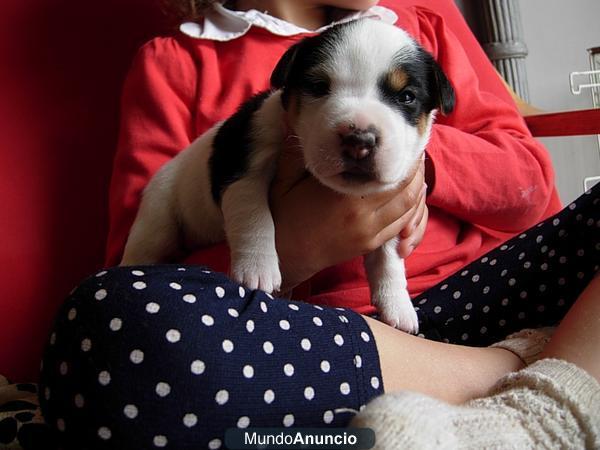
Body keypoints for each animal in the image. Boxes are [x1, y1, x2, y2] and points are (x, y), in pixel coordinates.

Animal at [119, 18, 452, 334]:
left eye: (406, 96)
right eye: (318, 86)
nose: (359, 141)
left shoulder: (389, 206)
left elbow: (388, 255)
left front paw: (397, 302)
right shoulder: (244, 163)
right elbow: (254, 215)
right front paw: (257, 268)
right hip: (158, 218)